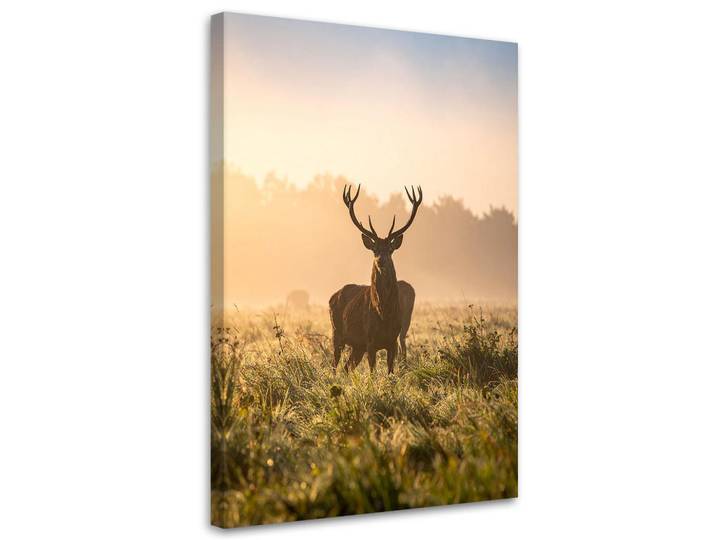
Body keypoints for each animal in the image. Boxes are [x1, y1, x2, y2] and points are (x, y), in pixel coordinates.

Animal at [329, 184, 422, 374]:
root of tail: (332, 297)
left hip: (357, 346)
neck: (384, 313)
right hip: (337, 334)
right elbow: (373, 372)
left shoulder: (392, 340)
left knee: (347, 367)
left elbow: (390, 371)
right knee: (334, 365)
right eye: (375, 249)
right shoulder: (370, 340)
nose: (381, 260)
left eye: (390, 249)